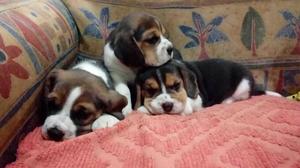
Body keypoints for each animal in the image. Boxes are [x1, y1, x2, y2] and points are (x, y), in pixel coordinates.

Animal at [136, 58, 282, 115]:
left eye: (177, 85)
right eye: (150, 90)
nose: (167, 106)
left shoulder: (198, 99)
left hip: (243, 86)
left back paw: (226, 101)